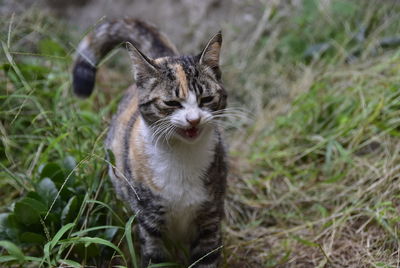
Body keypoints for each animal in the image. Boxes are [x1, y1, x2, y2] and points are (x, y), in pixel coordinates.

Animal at [72, 18, 228, 268]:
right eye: (172, 103)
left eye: (206, 99)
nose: (193, 119)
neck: (182, 156)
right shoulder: (150, 220)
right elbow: (155, 257)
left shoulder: (210, 219)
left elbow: (206, 258)